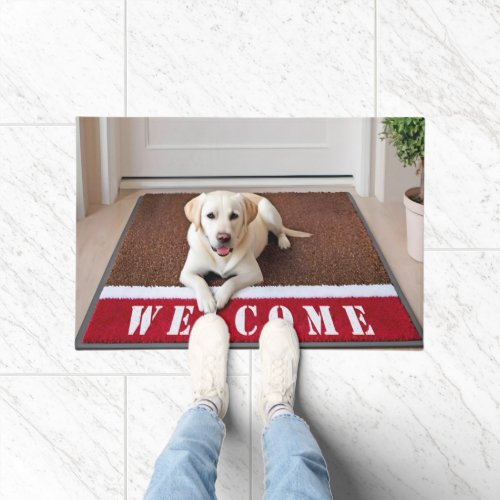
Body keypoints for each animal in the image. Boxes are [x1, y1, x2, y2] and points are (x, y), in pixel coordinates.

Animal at [182, 191, 310, 312]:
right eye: (210, 215)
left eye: (234, 215)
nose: (223, 237)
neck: (222, 256)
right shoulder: (186, 273)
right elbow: (199, 280)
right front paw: (207, 300)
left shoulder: (254, 273)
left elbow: (232, 280)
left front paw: (220, 296)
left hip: (267, 211)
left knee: (281, 231)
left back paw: (283, 242)